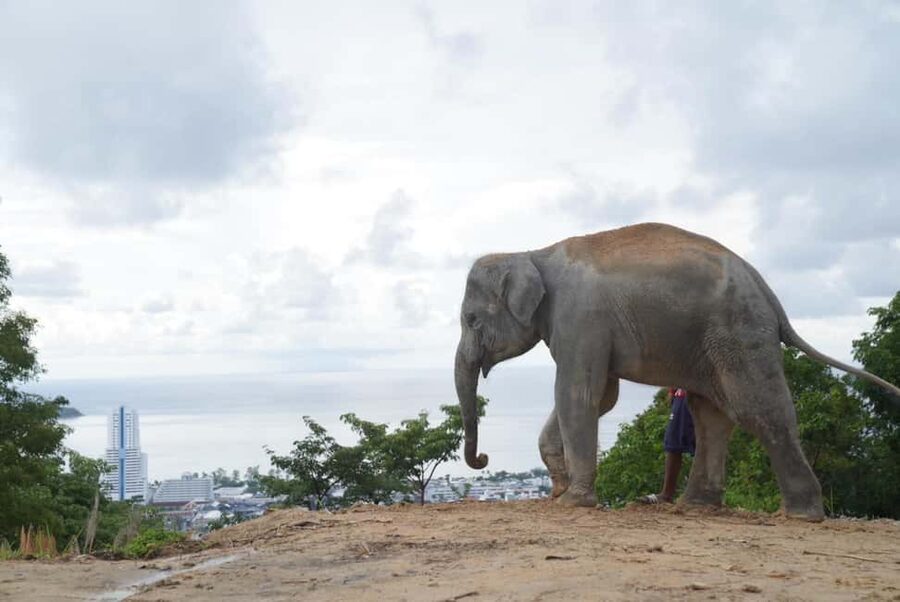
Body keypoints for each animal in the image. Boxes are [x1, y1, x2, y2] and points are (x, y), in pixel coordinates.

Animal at [454, 222, 900, 521]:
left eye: (471, 320)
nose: (483, 459)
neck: (532, 253)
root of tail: (768, 292)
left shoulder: (580, 318)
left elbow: (578, 393)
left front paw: (572, 501)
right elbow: (603, 396)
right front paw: (560, 490)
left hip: (738, 332)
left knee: (759, 411)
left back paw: (800, 515)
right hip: (713, 342)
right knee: (712, 415)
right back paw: (696, 505)